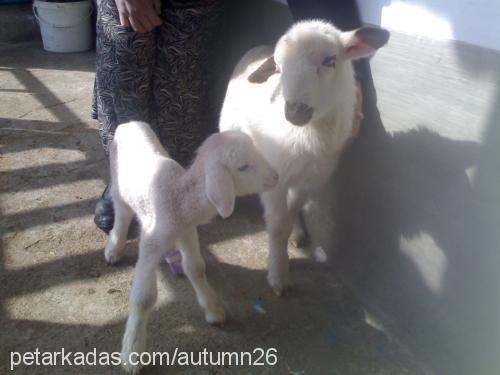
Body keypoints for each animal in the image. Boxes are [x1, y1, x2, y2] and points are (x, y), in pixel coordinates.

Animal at [104, 122, 280, 374]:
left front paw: (213, 310)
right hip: (118, 182)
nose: (276, 177)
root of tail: (128, 122)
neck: (179, 197)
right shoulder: (151, 242)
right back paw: (114, 249)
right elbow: (144, 298)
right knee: (122, 213)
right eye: (243, 167)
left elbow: (195, 268)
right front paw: (132, 352)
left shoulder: (187, 232)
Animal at [220, 19, 390, 296]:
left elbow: (290, 214)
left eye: (330, 60)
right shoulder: (275, 176)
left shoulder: (309, 180)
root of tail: (257, 47)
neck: (308, 136)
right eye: (278, 68)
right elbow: (278, 224)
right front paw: (278, 274)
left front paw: (289, 242)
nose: (294, 111)